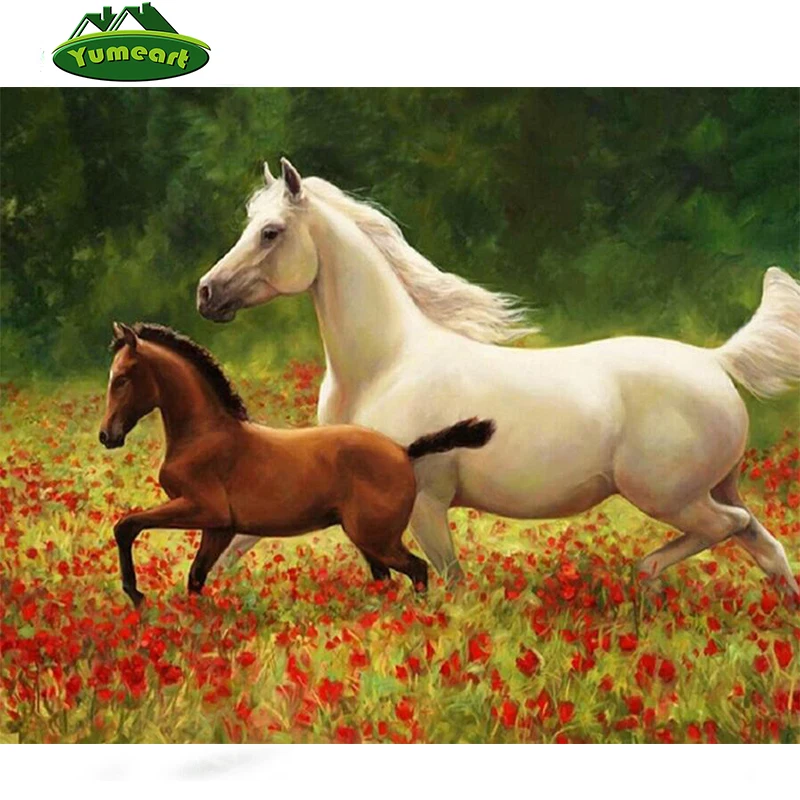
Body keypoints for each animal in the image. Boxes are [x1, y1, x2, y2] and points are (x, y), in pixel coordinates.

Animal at [98, 322, 495, 606]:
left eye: (122, 378)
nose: (107, 436)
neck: (204, 433)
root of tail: (403, 450)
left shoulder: (202, 508)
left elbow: (127, 525)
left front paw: (135, 593)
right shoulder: (219, 527)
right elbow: (195, 578)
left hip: (376, 537)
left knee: (418, 570)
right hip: (369, 540)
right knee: (387, 580)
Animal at [196, 158, 800, 595]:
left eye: (270, 232)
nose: (206, 293)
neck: (385, 367)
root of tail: (716, 361)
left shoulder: (427, 503)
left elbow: (451, 582)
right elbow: (241, 540)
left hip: (668, 496)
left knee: (730, 527)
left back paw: (646, 574)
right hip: (713, 487)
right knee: (767, 547)